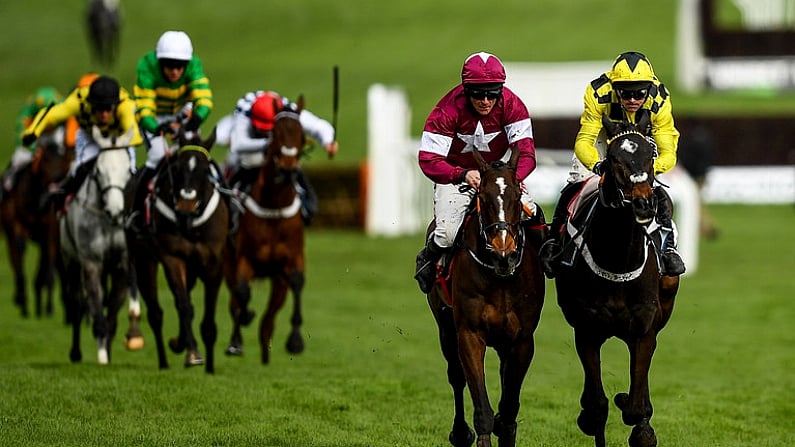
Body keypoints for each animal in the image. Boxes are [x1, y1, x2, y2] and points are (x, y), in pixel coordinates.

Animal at [0, 132, 72, 318]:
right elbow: (20, 258)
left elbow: (48, 269)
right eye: (44, 159)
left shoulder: (50, 229)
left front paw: (49, 308)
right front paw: (24, 302)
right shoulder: (17, 226)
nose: (56, 181)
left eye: (63, 159)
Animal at [127, 134, 227, 374]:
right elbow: (183, 306)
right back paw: (164, 360)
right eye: (178, 168)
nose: (185, 205)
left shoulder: (214, 263)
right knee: (156, 313)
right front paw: (193, 354)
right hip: (144, 258)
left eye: (204, 169)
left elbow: (208, 316)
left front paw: (209, 367)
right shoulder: (172, 257)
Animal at [227, 96, 310, 366]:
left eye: (301, 135)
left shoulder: (292, 259)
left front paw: (295, 341)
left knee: (269, 319)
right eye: (275, 134)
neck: (273, 208)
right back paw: (236, 341)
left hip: (277, 281)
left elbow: (297, 282)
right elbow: (242, 294)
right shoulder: (244, 258)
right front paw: (243, 322)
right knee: (235, 299)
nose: (287, 169)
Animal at [430, 148, 548, 447]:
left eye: (517, 196)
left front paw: (504, 426)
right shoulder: (469, 334)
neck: (500, 276)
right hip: (445, 326)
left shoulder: (522, 340)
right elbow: (481, 406)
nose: (503, 254)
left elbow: (509, 406)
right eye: (482, 197)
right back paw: (460, 432)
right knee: (456, 376)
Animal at [552, 115, 676, 447]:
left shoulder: (644, 331)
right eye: (614, 160)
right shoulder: (587, 331)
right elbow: (597, 406)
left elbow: (635, 406)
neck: (618, 260)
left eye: (651, 156)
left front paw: (638, 417)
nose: (644, 203)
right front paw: (590, 413)